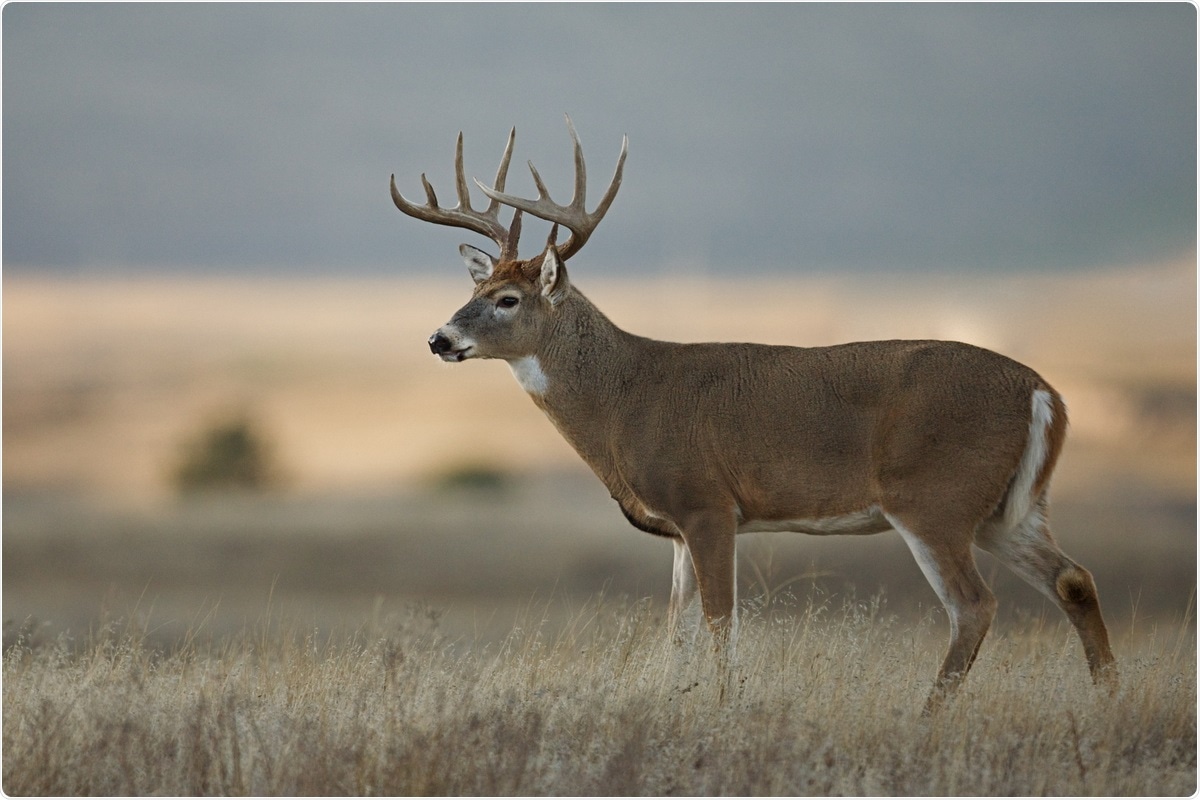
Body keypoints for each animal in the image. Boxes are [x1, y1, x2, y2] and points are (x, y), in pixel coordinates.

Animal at [390, 116, 1117, 710]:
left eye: (508, 299)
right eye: (475, 287)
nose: (438, 339)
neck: (627, 398)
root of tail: (1043, 391)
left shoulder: (708, 502)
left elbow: (720, 621)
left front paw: (723, 706)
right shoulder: (678, 528)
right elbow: (678, 628)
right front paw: (676, 701)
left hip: (933, 498)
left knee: (974, 605)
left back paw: (928, 717)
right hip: (1006, 509)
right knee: (1074, 578)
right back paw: (1106, 700)